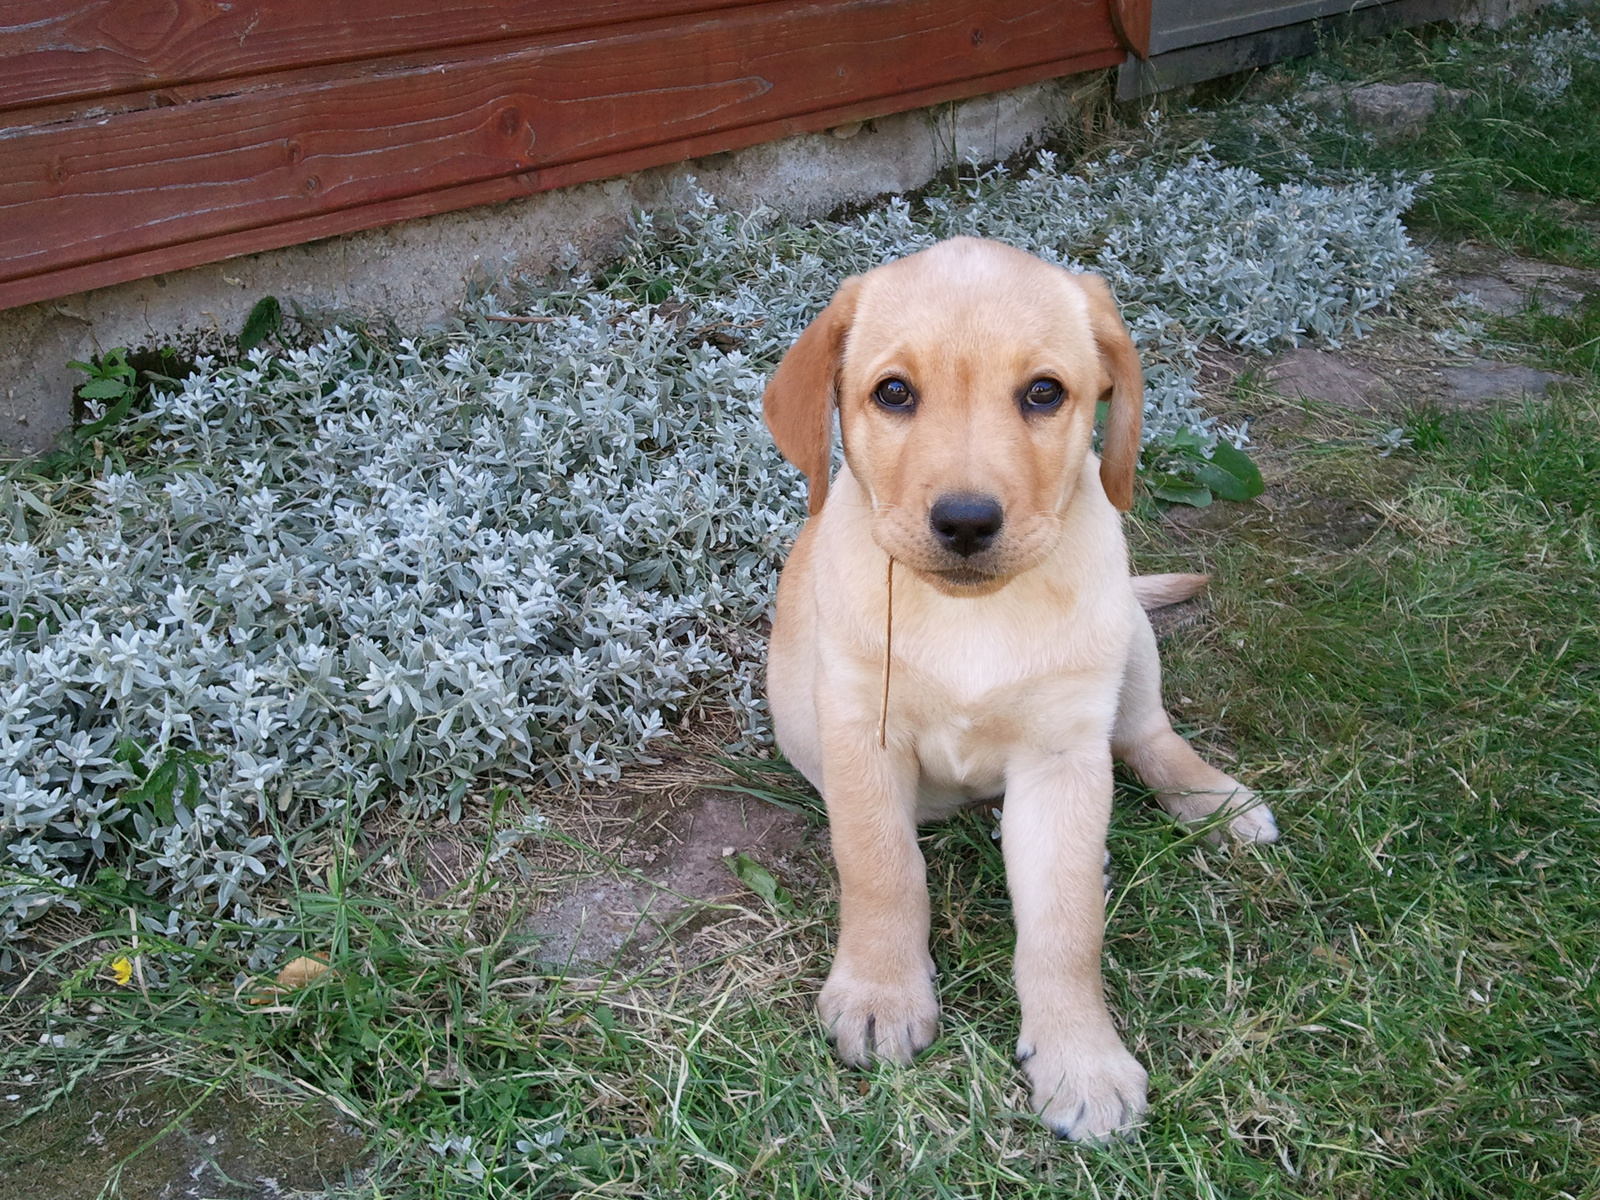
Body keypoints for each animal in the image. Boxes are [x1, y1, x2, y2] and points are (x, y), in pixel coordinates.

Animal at [761, 236, 1273, 1145]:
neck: (974, 613)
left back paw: (1213, 801)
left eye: (1044, 393)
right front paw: (881, 992)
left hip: (1126, 637)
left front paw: (1081, 1057)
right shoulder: (861, 732)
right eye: (893, 393)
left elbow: (1066, 928)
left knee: (1145, 735)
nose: (967, 522)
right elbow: (881, 867)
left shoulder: (1062, 754)